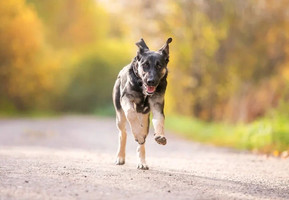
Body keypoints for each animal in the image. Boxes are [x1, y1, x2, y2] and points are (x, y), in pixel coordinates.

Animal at [112, 37, 171, 169]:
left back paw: (142, 162)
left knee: (142, 142)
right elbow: (131, 113)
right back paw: (120, 157)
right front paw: (137, 133)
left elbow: (159, 120)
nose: (151, 81)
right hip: (120, 116)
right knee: (123, 133)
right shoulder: (127, 99)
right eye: (145, 65)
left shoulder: (157, 105)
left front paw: (160, 136)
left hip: (145, 120)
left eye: (159, 66)